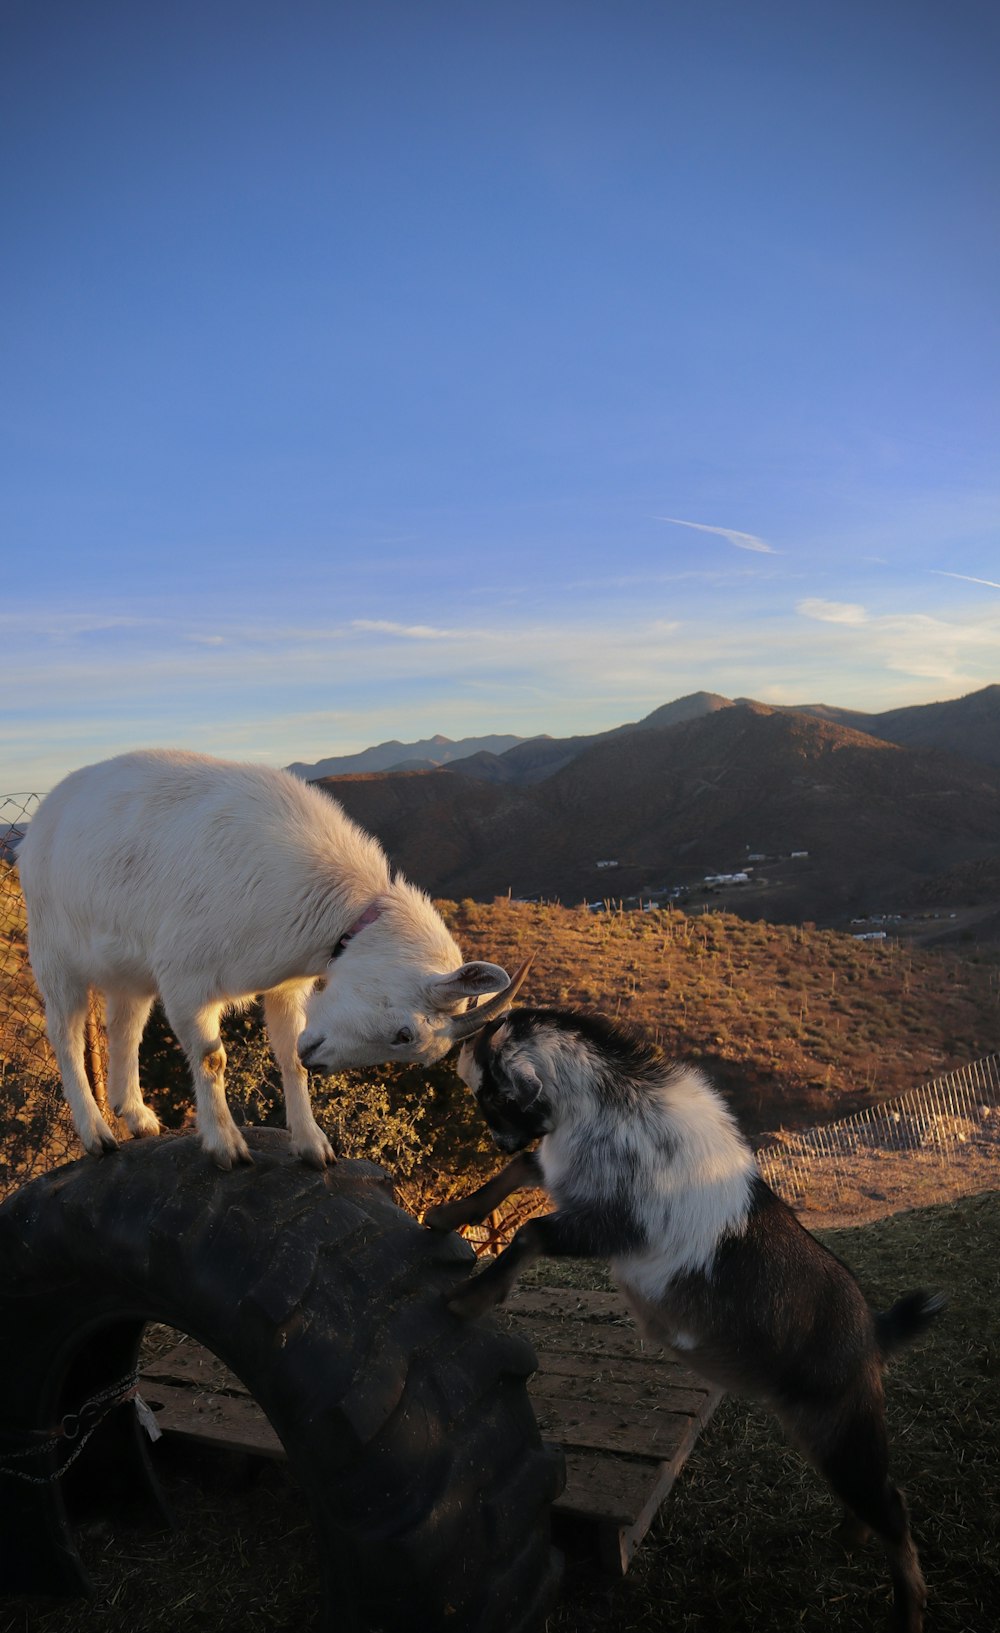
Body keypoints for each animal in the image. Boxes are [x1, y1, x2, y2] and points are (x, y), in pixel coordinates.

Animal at [19, 751, 526, 1175]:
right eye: (405, 1034)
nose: (320, 1061)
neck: (336, 906)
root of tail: (44, 815)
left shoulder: (287, 986)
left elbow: (287, 1055)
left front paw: (314, 1146)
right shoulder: (186, 977)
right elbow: (211, 1058)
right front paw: (226, 1145)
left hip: (129, 967)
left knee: (125, 1024)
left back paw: (138, 1116)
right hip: (52, 948)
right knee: (65, 1033)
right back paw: (97, 1134)